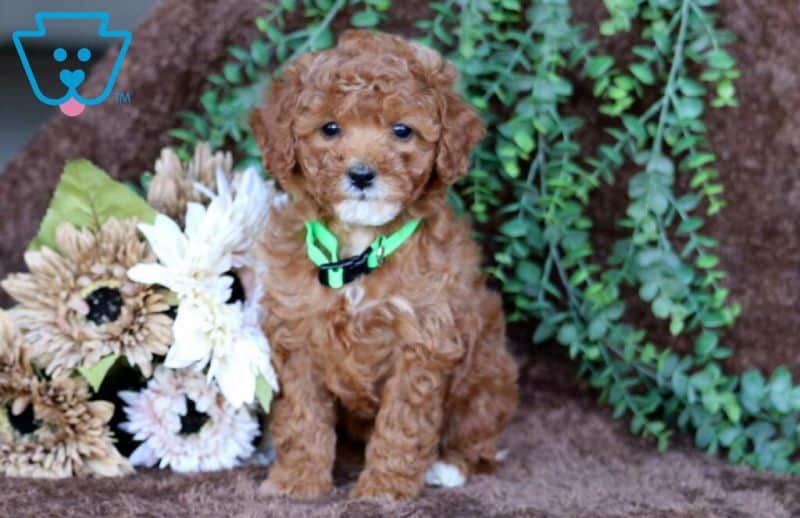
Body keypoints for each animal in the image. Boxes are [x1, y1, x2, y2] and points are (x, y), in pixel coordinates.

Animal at [250, 30, 520, 502]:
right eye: (330, 128)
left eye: (402, 131)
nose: (362, 174)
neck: (360, 249)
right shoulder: (298, 332)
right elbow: (303, 415)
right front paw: (298, 480)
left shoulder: (422, 341)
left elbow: (403, 424)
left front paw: (384, 489)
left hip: (487, 376)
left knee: (479, 435)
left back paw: (449, 466)